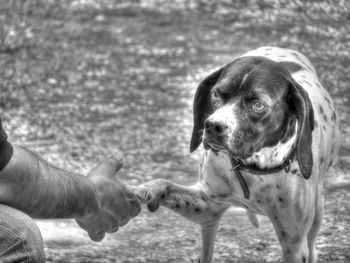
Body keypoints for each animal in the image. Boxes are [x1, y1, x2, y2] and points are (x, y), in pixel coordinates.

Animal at [133, 48, 342, 263]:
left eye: (257, 105)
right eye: (216, 94)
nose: (212, 126)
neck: (253, 170)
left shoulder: (293, 243)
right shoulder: (207, 206)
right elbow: (164, 184)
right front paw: (145, 191)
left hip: (317, 213)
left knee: (313, 244)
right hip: (210, 221)